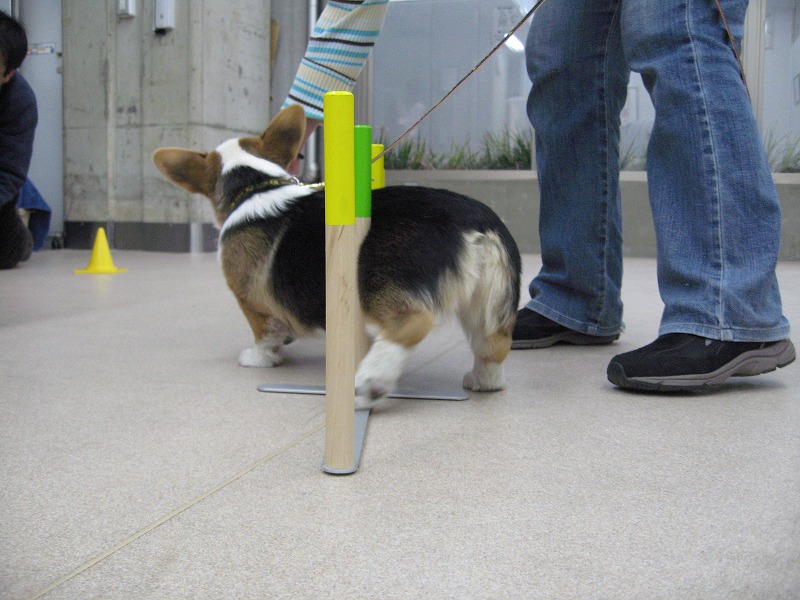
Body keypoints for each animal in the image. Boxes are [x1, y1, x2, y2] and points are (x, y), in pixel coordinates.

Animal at [152, 104, 521, 408]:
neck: (255, 188)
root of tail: (475, 226)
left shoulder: (249, 298)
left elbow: (263, 332)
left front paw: (258, 358)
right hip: (488, 304)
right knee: (494, 346)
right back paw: (482, 380)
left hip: (379, 289)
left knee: (413, 322)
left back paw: (371, 381)